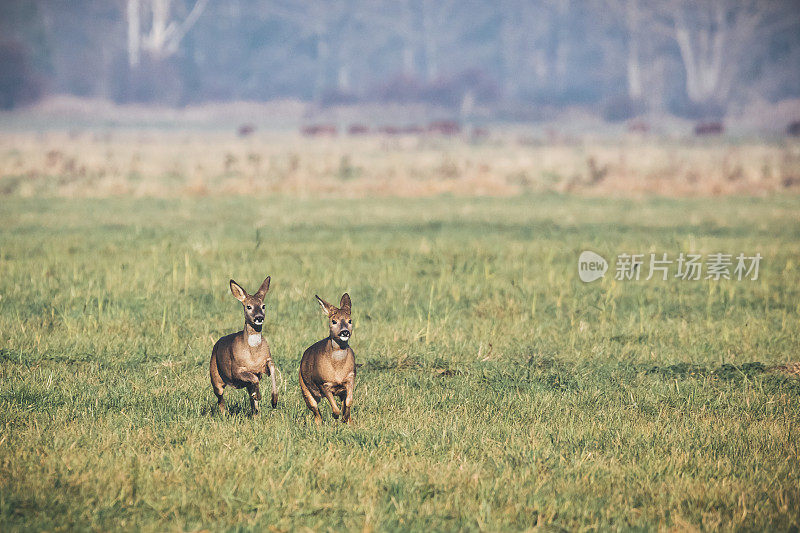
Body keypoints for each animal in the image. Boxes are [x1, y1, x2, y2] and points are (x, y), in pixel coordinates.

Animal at [211, 276, 280, 418]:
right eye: (248, 306)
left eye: (263, 306)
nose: (259, 317)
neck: (253, 354)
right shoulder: (236, 370)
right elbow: (254, 378)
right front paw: (258, 395)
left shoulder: (265, 363)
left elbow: (271, 369)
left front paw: (274, 400)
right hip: (215, 377)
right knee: (220, 399)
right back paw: (224, 416)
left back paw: (255, 413)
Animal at [300, 294, 356, 422]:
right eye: (333, 321)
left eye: (350, 320)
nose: (345, 332)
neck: (338, 369)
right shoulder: (323, 383)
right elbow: (335, 409)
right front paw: (336, 416)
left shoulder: (350, 377)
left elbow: (349, 402)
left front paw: (345, 418)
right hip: (304, 387)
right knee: (316, 412)